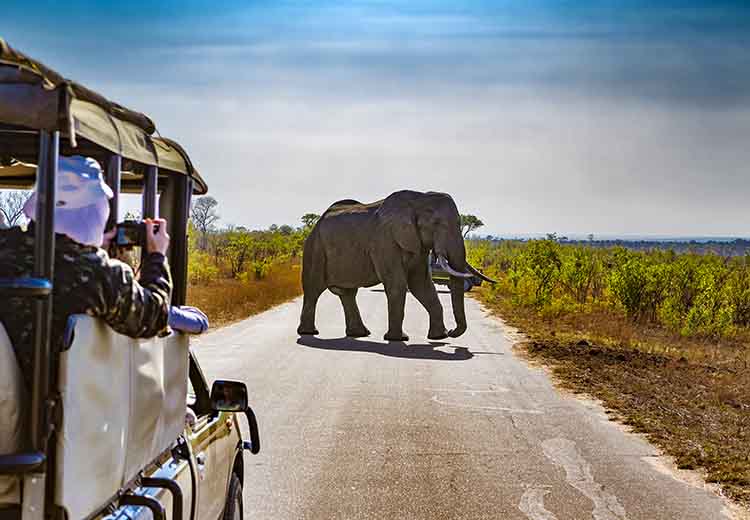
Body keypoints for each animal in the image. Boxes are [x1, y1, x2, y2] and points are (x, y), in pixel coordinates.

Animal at [296, 190, 490, 342]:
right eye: (437, 224)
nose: (452, 332)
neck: (420, 199)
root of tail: (317, 223)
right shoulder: (384, 242)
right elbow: (397, 284)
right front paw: (399, 339)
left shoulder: (418, 246)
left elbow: (422, 284)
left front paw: (438, 337)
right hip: (315, 249)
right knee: (313, 290)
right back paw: (309, 333)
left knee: (348, 294)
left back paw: (359, 334)